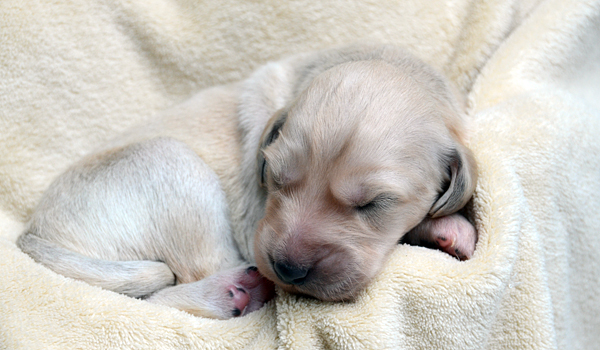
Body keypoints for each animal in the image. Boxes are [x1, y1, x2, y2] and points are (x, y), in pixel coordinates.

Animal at [17, 42, 478, 318]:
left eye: (373, 204)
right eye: (275, 178)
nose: (288, 269)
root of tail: (34, 233)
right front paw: (445, 227)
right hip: (173, 166)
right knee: (166, 293)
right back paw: (231, 292)